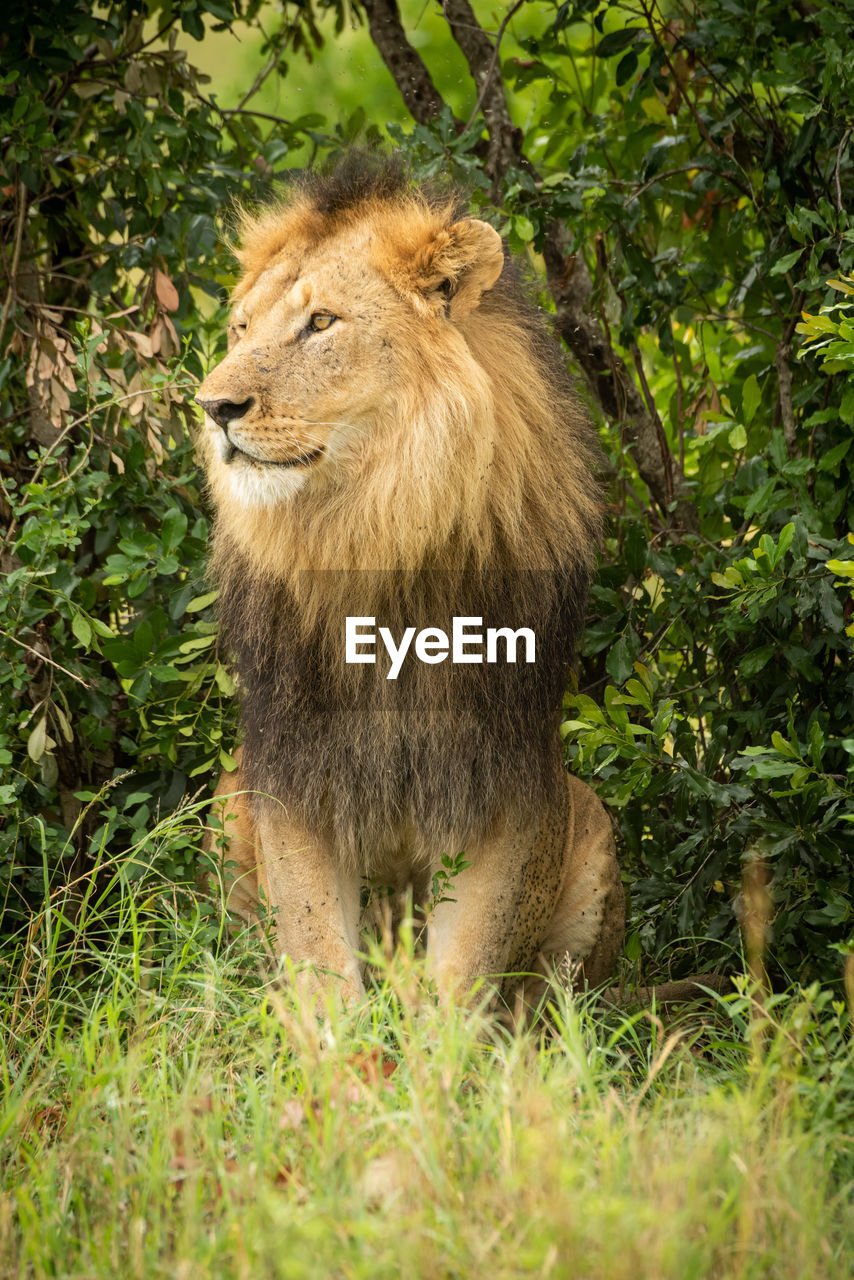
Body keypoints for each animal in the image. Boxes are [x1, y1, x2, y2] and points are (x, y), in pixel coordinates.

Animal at [198, 152, 627, 1008]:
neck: (374, 533)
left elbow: (463, 973)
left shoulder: (506, 779)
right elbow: (319, 961)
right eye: (239, 329)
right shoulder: (292, 773)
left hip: (590, 824)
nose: (213, 405)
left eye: (321, 323)